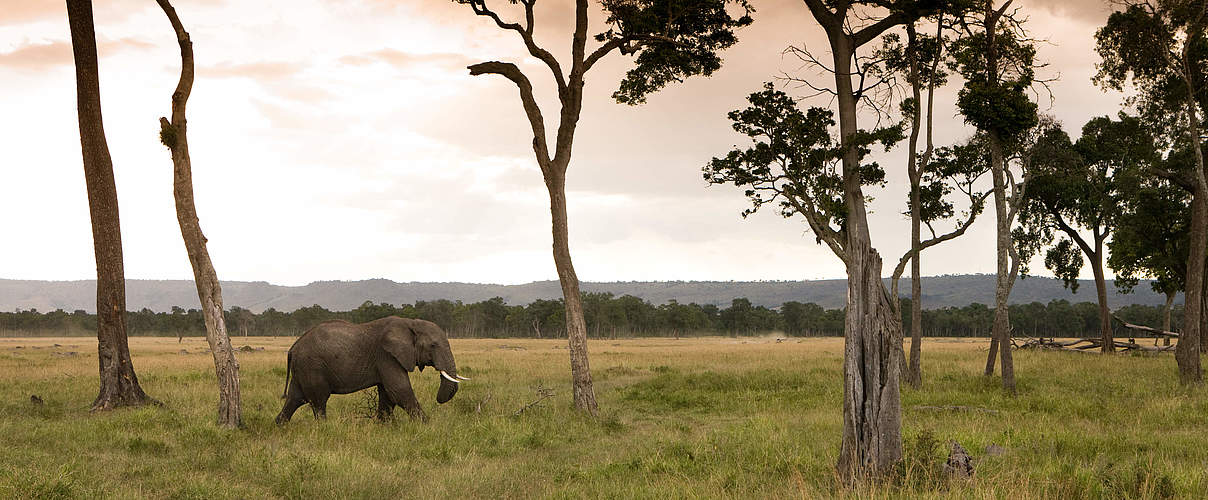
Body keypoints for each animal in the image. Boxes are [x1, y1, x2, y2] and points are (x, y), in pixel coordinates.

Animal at [275, 316, 466, 422]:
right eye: (433, 345)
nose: (438, 399)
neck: (410, 323)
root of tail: (293, 347)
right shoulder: (386, 355)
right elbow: (399, 390)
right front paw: (426, 425)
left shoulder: (386, 359)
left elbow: (388, 394)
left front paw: (383, 426)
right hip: (312, 366)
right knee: (318, 401)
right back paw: (324, 428)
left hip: (302, 368)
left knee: (295, 398)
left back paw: (280, 425)